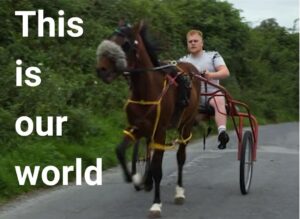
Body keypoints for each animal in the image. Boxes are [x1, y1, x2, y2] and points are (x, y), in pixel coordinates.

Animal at [96, 21, 202, 217]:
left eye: (126, 44)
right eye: (109, 39)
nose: (101, 69)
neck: (147, 91)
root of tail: (191, 68)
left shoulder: (160, 131)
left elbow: (158, 168)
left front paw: (156, 204)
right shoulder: (137, 127)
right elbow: (120, 151)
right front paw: (135, 177)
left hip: (186, 125)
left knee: (180, 157)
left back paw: (179, 192)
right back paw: (147, 181)